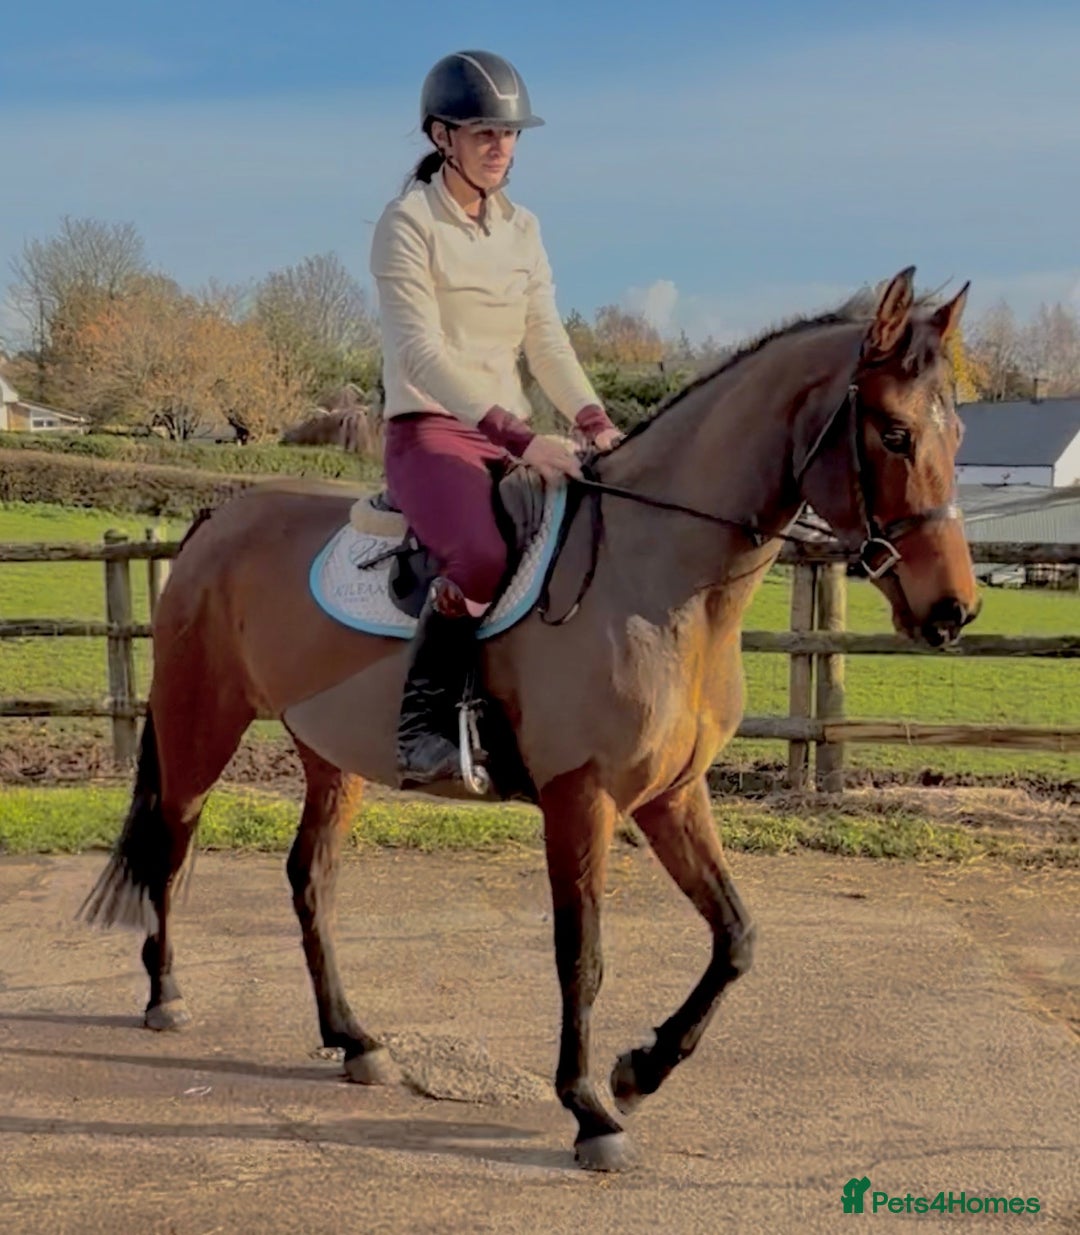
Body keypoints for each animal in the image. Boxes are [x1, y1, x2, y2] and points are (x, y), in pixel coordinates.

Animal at [82, 268, 978, 1171]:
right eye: (895, 433)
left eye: (958, 431)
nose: (953, 610)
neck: (653, 573)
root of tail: (219, 517)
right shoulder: (581, 798)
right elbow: (581, 954)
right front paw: (590, 1109)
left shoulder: (673, 795)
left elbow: (737, 935)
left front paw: (639, 1070)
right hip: (202, 723)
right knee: (171, 844)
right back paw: (166, 993)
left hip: (330, 757)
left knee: (310, 878)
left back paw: (354, 1037)